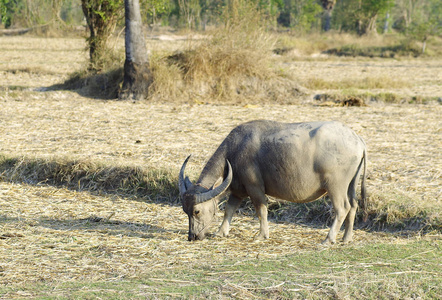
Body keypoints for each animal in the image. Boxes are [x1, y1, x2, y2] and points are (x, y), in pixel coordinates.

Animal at [178, 119, 368, 244]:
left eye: (196, 211)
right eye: (185, 211)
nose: (192, 237)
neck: (235, 151)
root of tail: (358, 140)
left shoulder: (254, 188)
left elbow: (261, 210)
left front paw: (262, 235)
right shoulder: (238, 190)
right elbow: (229, 210)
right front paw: (220, 232)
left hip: (335, 186)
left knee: (342, 208)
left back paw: (329, 239)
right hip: (351, 184)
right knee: (353, 205)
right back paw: (346, 238)